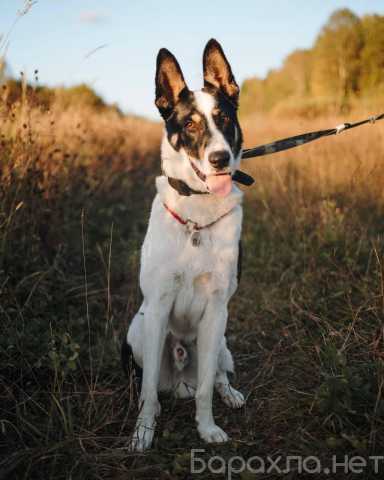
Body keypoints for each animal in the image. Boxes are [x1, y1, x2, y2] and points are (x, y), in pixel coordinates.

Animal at [121, 38, 252, 454]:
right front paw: (143, 432)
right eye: (190, 124)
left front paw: (207, 428)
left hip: (222, 339)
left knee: (217, 377)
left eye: (224, 118)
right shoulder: (158, 305)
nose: (220, 159)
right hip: (138, 330)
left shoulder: (215, 310)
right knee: (151, 386)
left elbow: (207, 389)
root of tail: (180, 379)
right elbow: (147, 391)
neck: (198, 209)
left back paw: (231, 394)